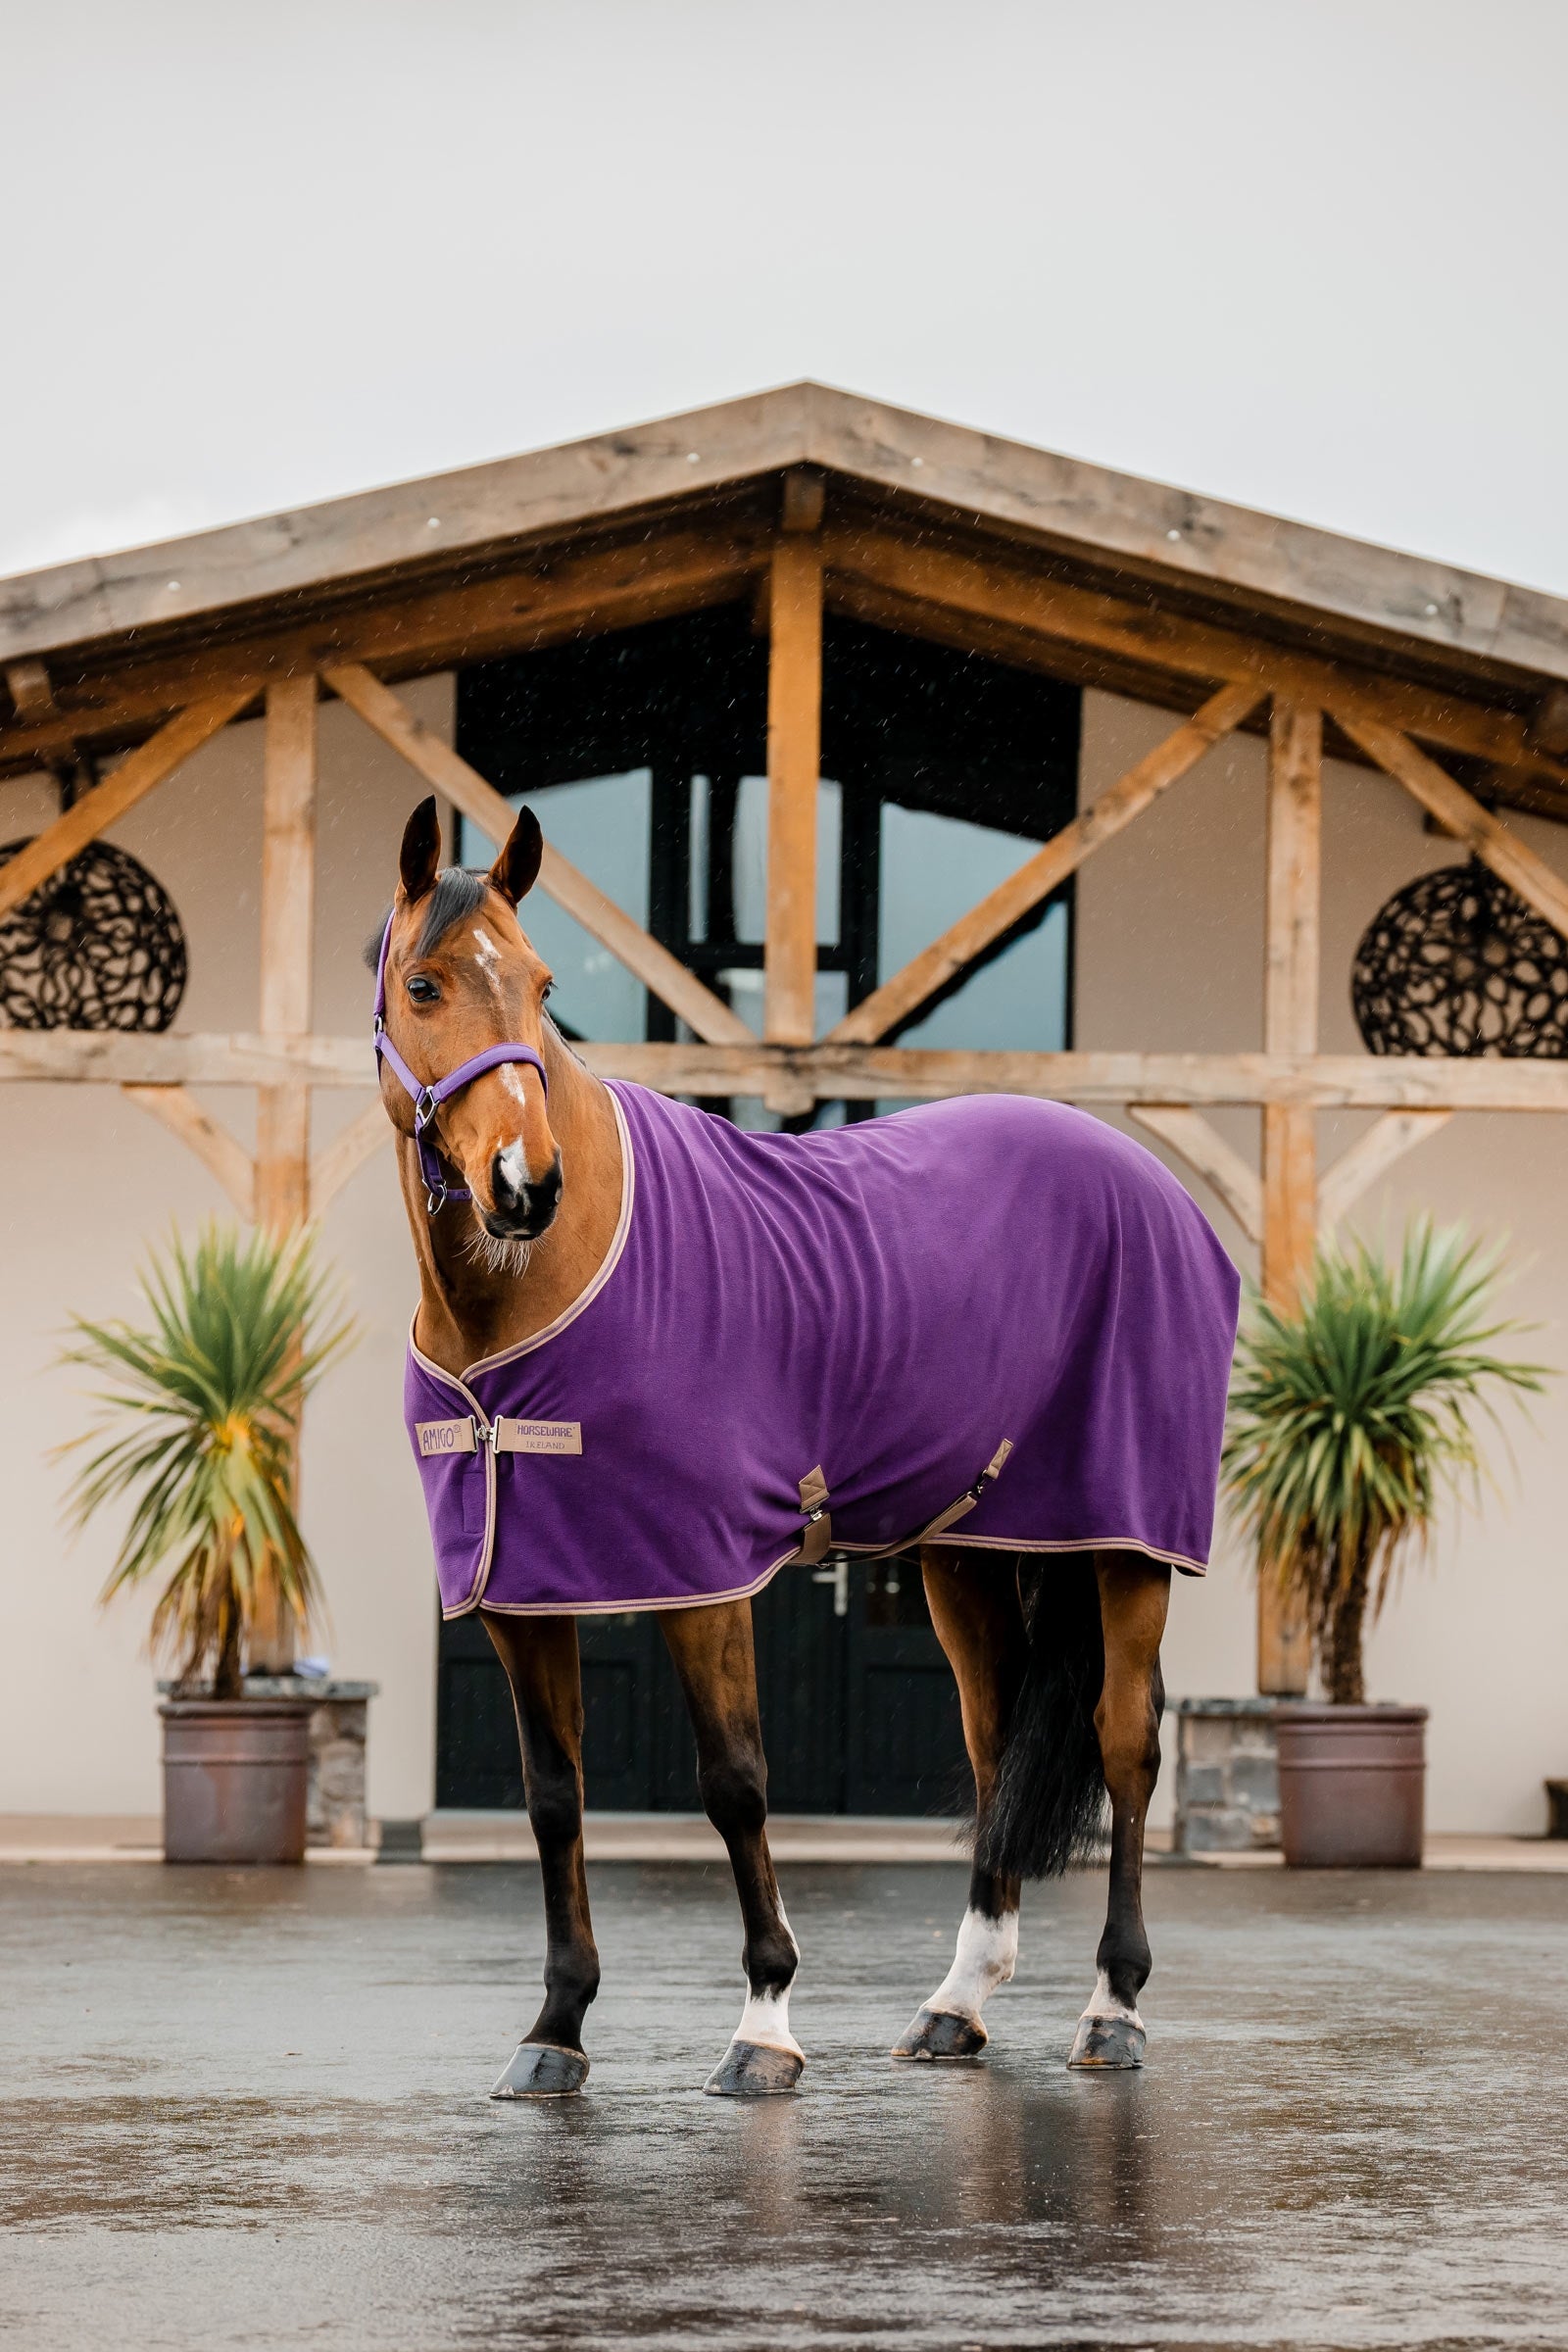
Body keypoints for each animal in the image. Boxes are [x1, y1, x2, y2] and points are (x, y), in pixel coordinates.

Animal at [370, 794, 1239, 2099]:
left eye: (536, 984)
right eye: (423, 985)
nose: (525, 1184)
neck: (533, 1289)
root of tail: (1152, 1184)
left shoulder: (702, 1577)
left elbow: (734, 1785)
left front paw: (765, 2025)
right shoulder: (524, 1591)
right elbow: (552, 1797)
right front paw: (555, 2029)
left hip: (1126, 1547)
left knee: (1126, 1746)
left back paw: (1112, 2010)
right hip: (969, 1552)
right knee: (995, 1751)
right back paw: (953, 2007)